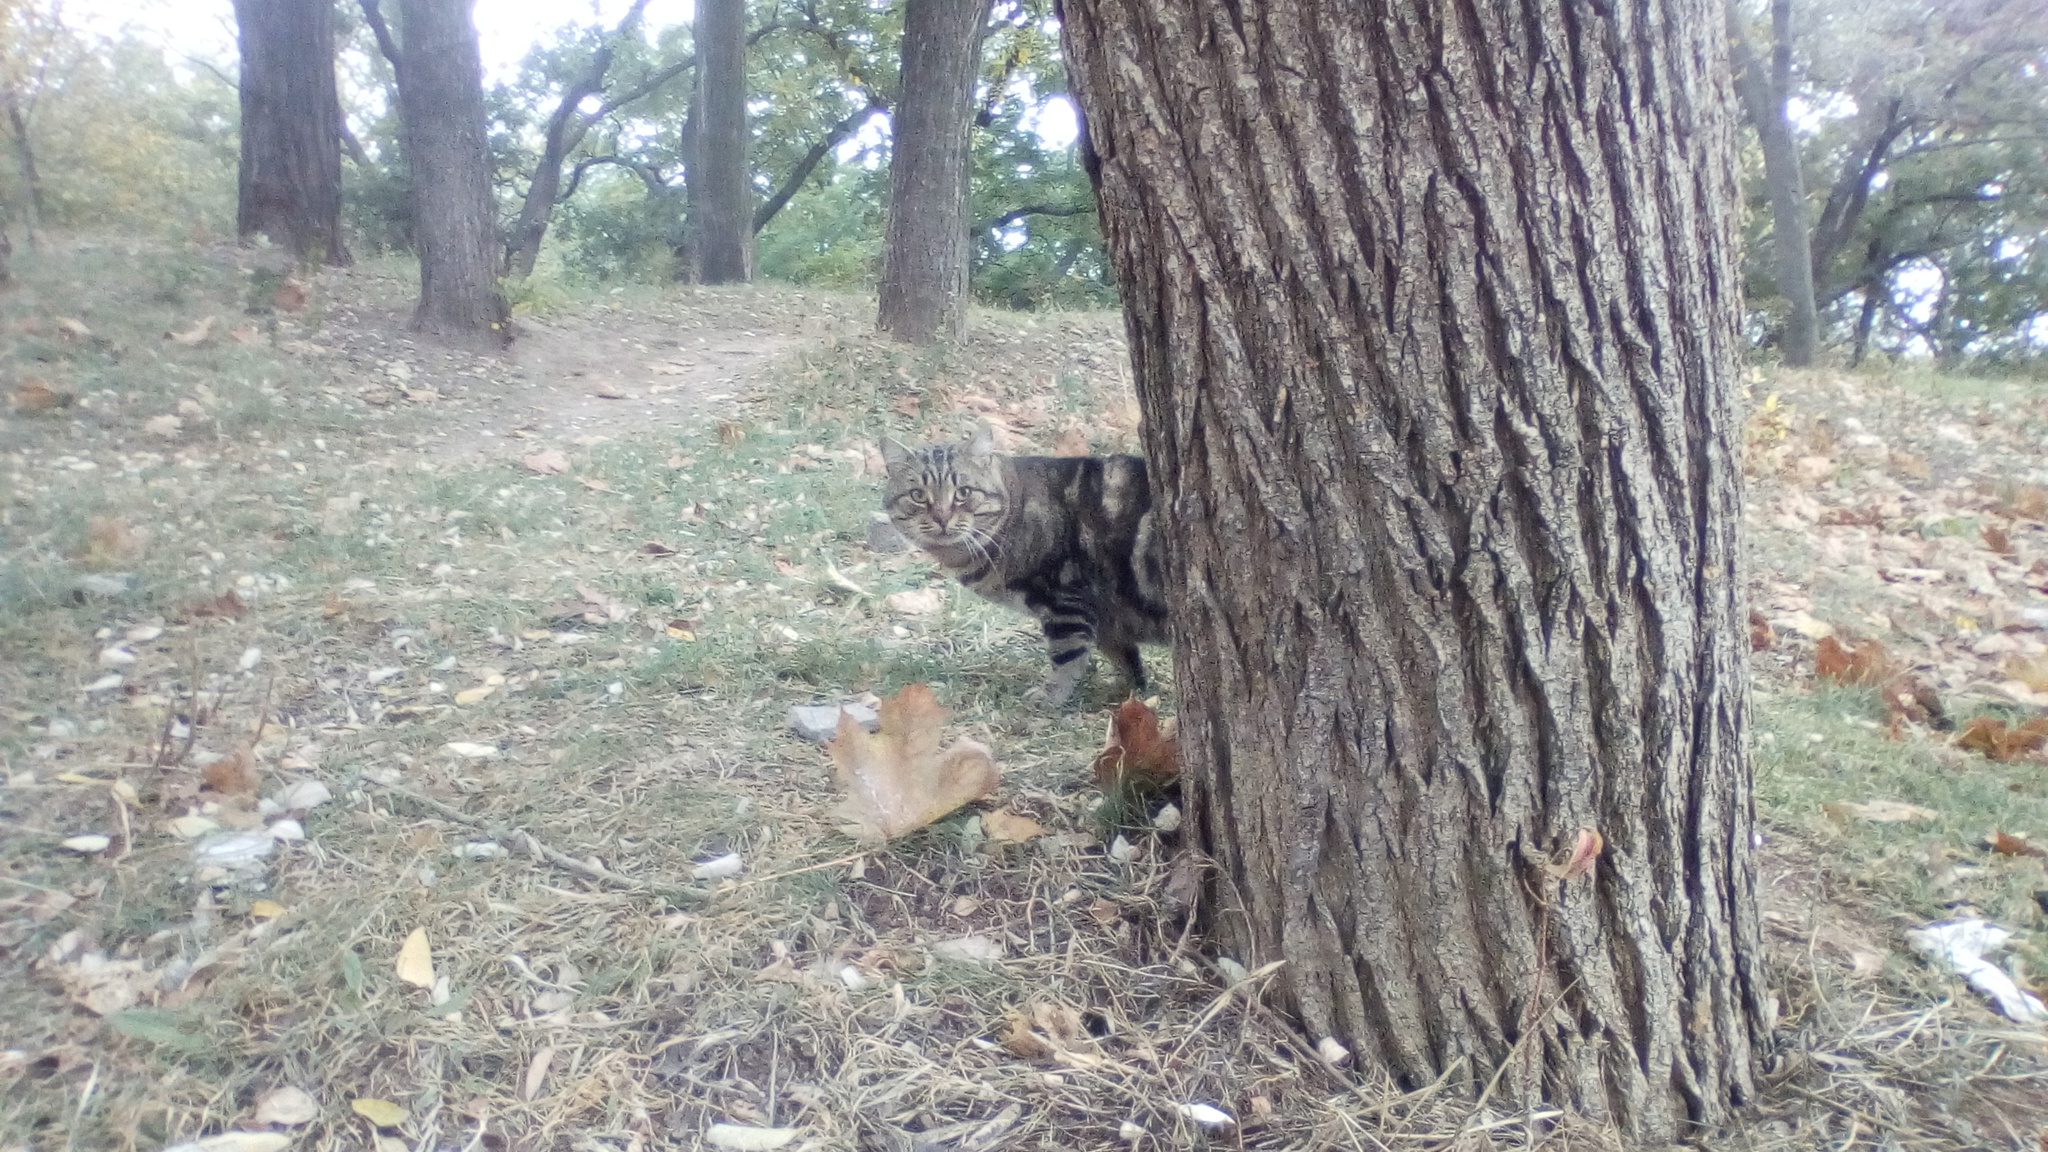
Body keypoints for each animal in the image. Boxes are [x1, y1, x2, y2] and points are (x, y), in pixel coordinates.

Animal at [880, 426, 1171, 705]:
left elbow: (1067, 656)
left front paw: (1051, 696)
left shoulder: (1065, 601)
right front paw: (1128, 694)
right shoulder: (1107, 621)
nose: (941, 518)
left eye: (963, 493)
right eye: (918, 495)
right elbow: (1126, 658)